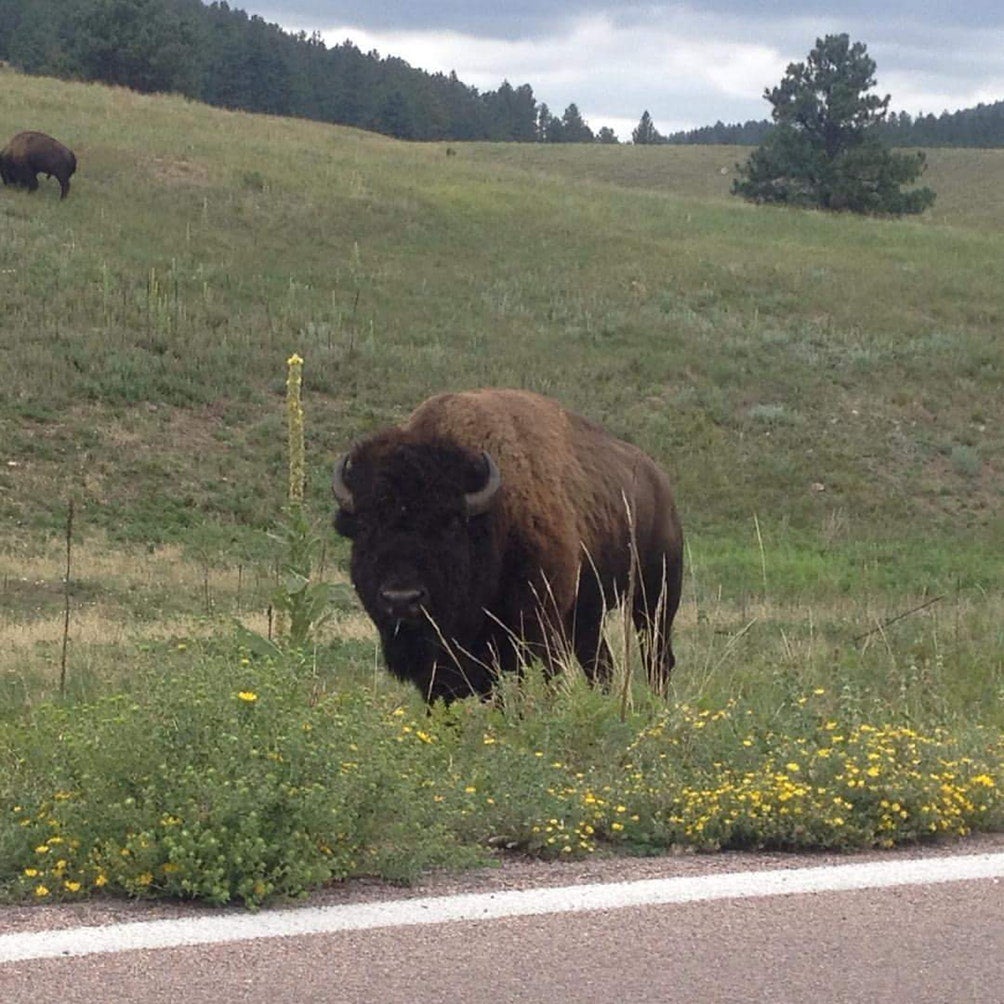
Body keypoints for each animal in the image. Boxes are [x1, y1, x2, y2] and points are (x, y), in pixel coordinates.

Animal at [333, 387, 686, 702]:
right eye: (364, 526)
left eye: (449, 524)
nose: (402, 598)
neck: (492, 520)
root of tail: (660, 482)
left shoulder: (537, 629)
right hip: (588, 611)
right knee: (600, 664)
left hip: (655, 595)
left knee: (656, 658)